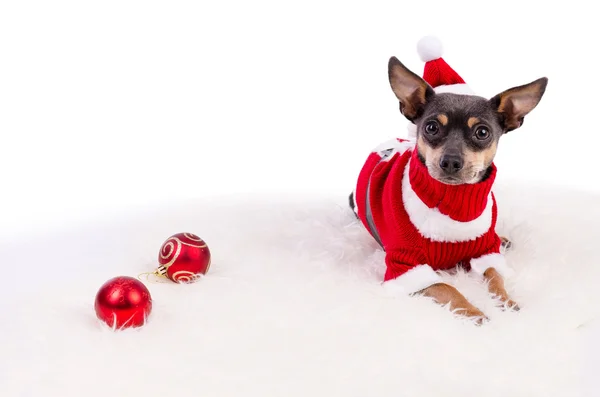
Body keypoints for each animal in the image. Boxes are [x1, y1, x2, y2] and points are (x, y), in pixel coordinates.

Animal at [346, 38, 548, 322]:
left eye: (482, 132)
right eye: (431, 127)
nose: (450, 162)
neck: (455, 204)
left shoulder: (485, 252)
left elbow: (495, 276)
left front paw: (506, 301)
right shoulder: (406, 267)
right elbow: (448, 288)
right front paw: (475, 313)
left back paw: (503, 238)